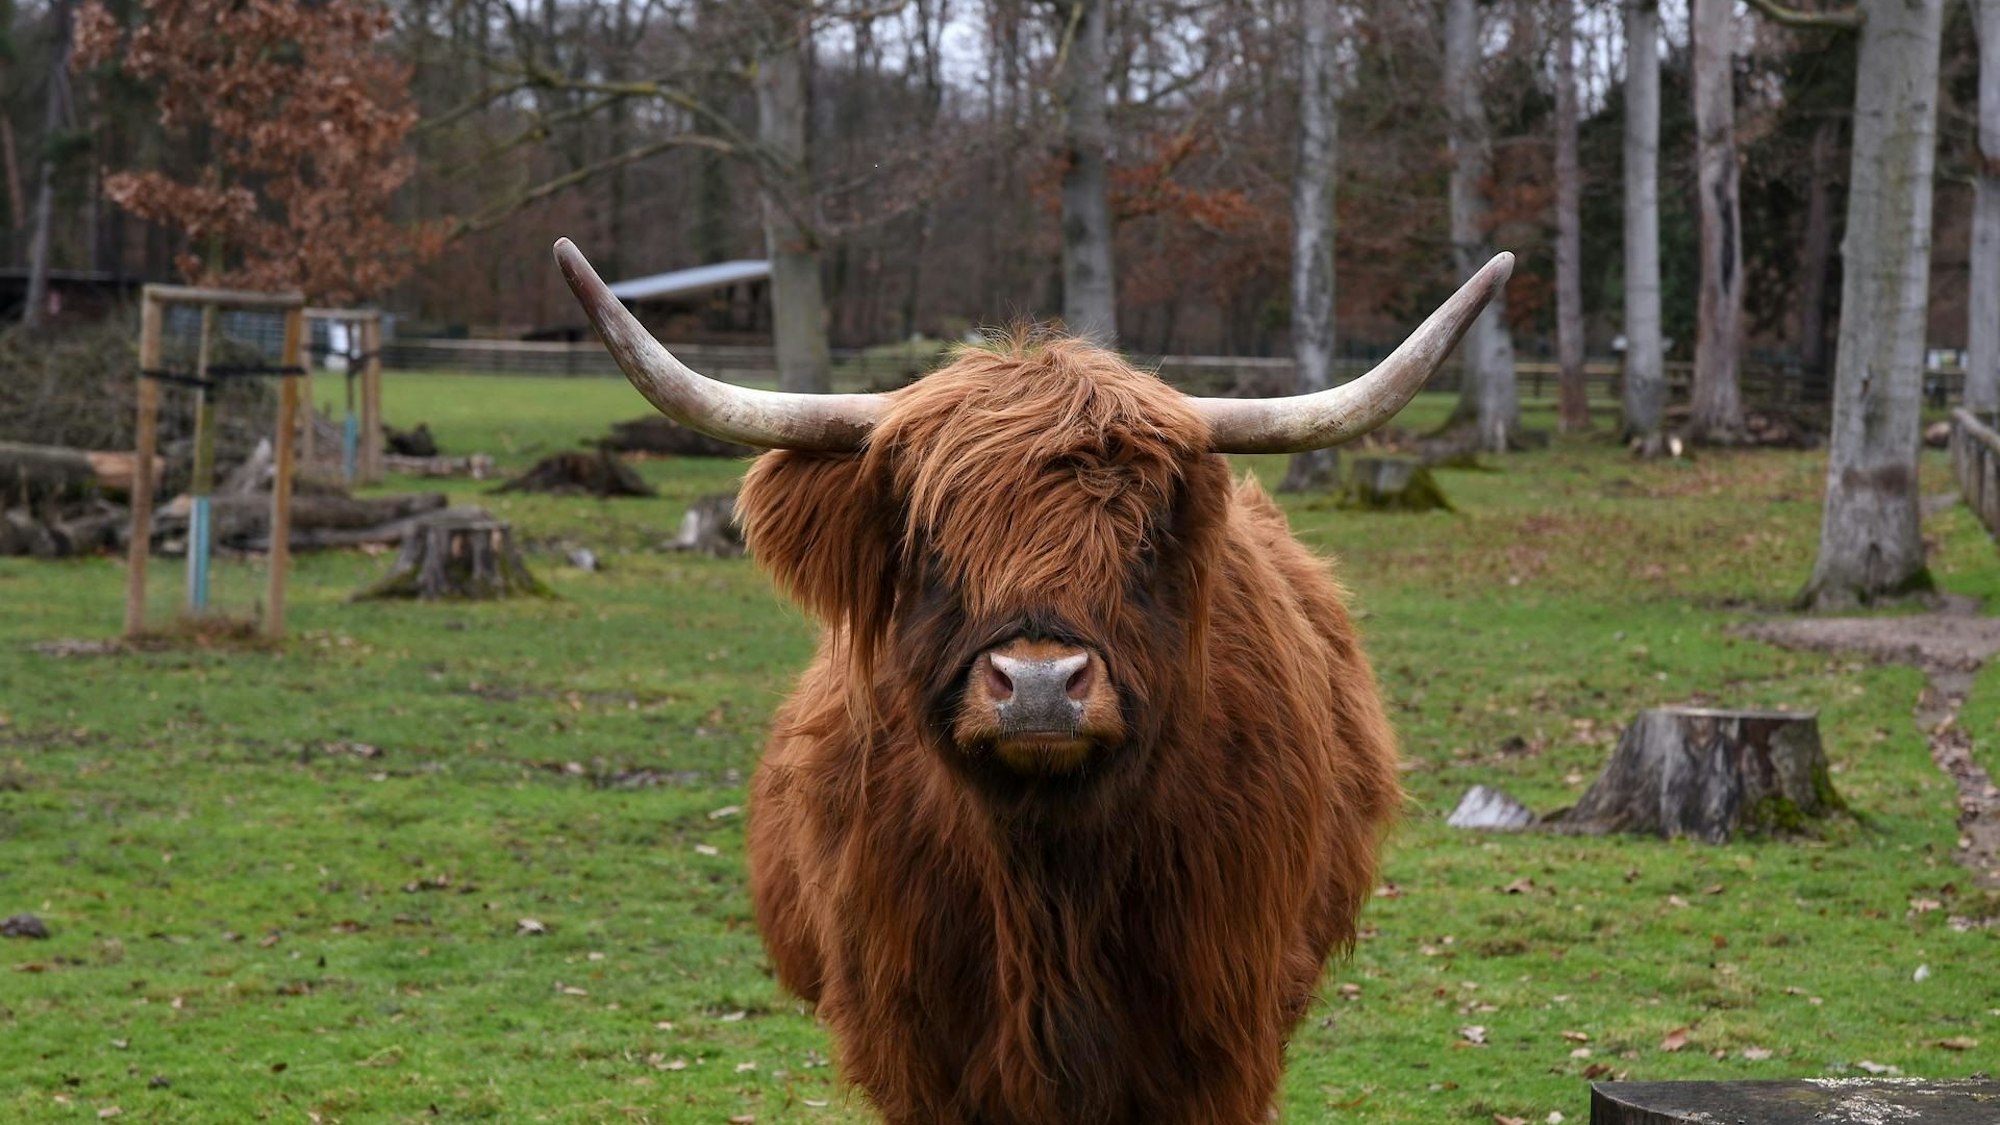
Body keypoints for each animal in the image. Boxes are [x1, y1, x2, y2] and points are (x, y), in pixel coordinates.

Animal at [553, 239, 1512, 1124]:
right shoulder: (921, 1050)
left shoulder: (1218, 1039)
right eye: (931, 541)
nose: (1042, 684)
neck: (1047, 873)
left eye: (1143, 538)